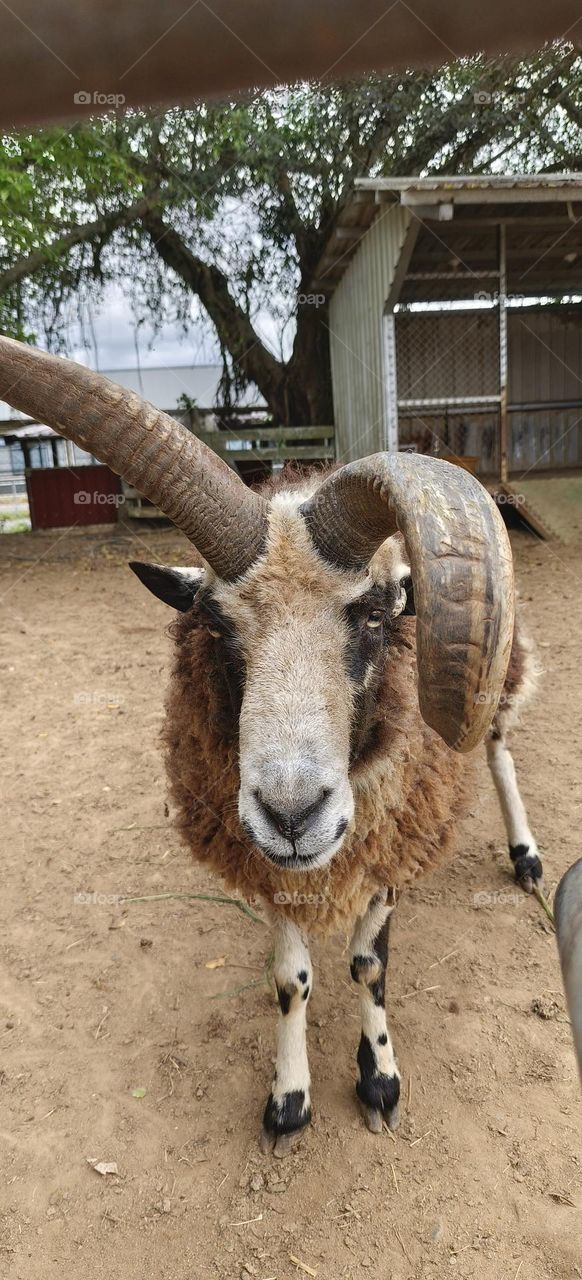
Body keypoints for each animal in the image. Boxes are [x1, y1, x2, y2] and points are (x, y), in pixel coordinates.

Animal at [0, 336, 542, 1153]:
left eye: (376, 617)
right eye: (216, 628)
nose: (292, 814)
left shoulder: (391, 836)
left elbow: (368, 967)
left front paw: (379, 1080)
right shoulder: (265, 860)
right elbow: (292, 981)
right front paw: (289, 1102)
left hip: (500, 674)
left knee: (500, 748)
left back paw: (527, 856)